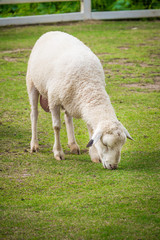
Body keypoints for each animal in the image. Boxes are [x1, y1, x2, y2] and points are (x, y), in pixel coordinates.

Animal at [26, 31, 133, 170]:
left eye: (121, 145)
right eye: (105, 144)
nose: (113, 166)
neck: (89, 84)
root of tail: (52, 31)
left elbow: (91, 130)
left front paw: (94, 155)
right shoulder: (54, 100)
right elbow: (56, 127)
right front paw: (58, 153)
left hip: (69, 99)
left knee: (68, 118)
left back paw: (73, 145)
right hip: (32, 83)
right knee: (34, 114)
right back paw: (34, 144)